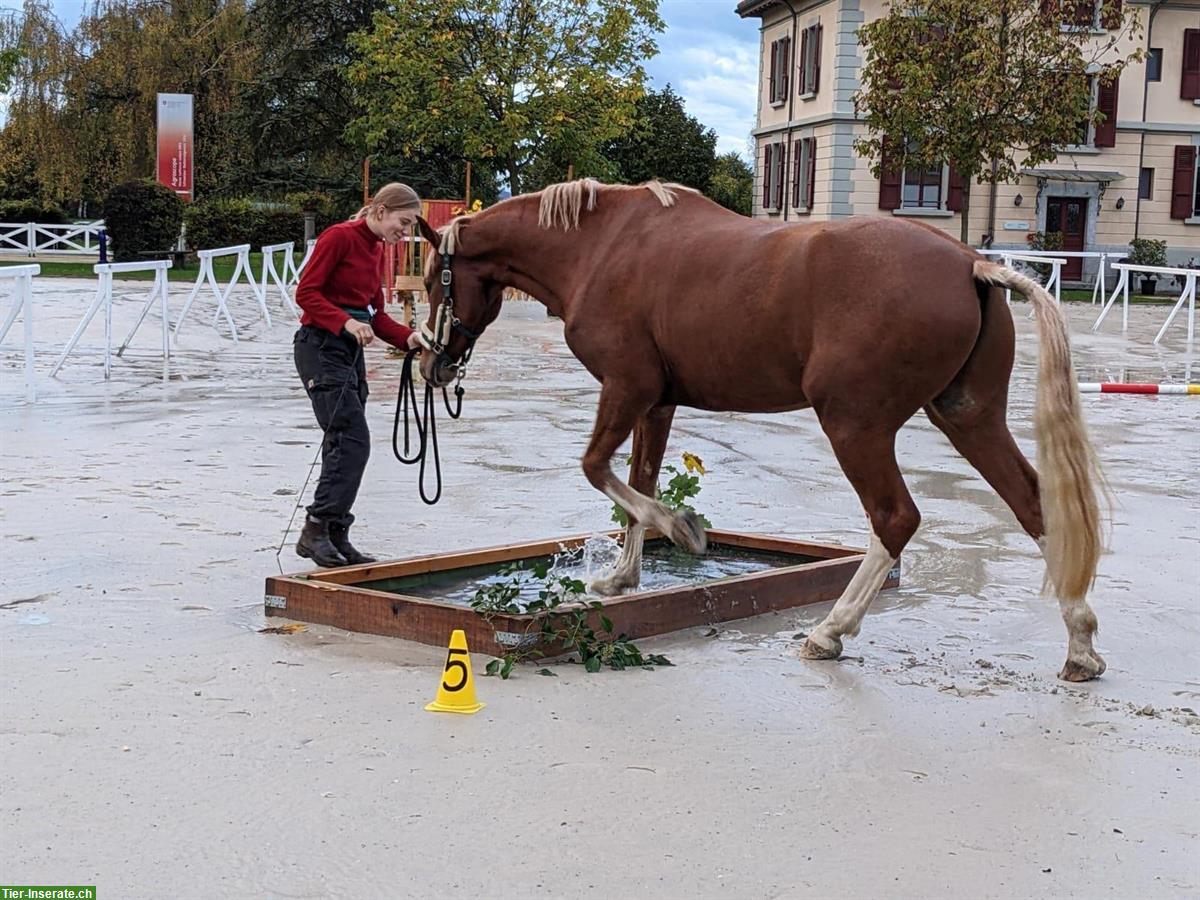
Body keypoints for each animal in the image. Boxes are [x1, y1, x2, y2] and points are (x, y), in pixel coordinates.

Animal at [415, 177, 1104, 681]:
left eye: (430, 279)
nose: (431, 362)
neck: (601, 246)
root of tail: (971, 264)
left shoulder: (625, 388)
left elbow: (599, 470)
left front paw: (683, 529)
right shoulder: (656, 404)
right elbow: (637, 480)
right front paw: (624, 576)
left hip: (855, 425)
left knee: (895, 518)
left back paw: (830, 632)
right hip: (968, 417)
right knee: (1033, 505)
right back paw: (1080, 644)